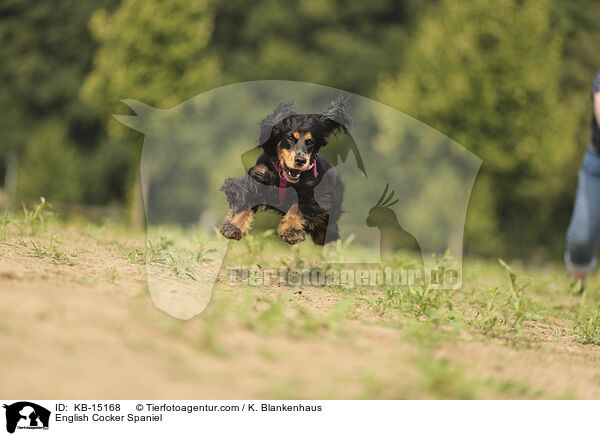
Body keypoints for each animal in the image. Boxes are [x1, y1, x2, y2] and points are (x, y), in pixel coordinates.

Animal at [220, 96, 352, 245]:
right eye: (290, 138)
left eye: (310, 142)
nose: (300, 160)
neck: (283, 176)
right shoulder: (258, 178)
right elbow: (246, 200)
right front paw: (234, 226)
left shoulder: (308, 191)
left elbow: (297, 208)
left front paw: (292, 231)